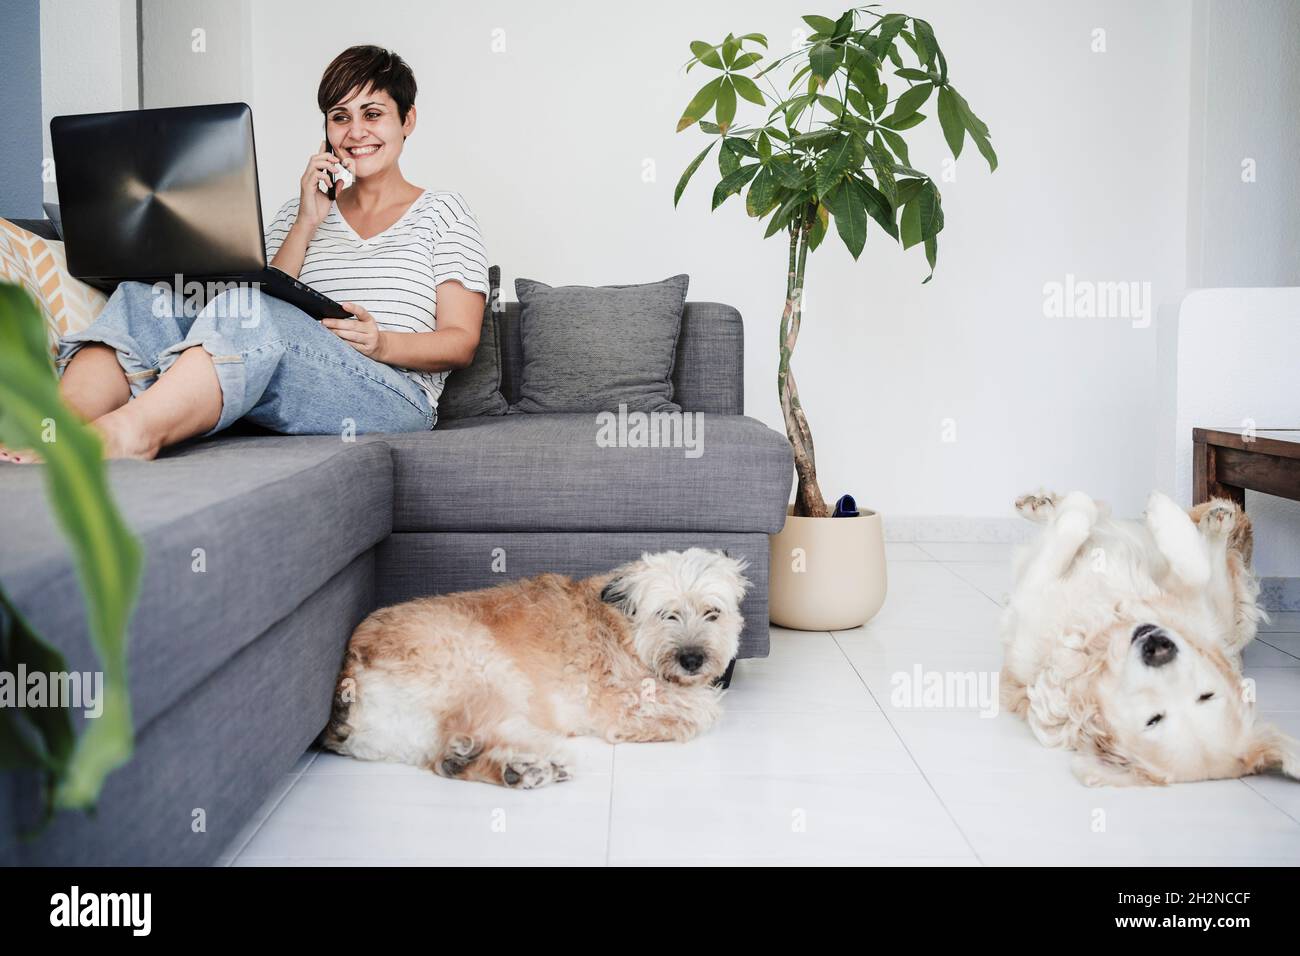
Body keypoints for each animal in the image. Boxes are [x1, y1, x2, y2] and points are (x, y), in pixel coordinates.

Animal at [317, 548, 754, 790]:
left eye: (713, 613)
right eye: (667, 614)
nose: (692, 660)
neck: (626, 628)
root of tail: (349, 675)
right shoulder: (625, 705)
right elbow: (704, 708)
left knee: (446, 759)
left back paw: (514, 769)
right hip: (483, 671)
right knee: (471, 732)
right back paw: (533, 760)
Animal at [998, 489, 1294, 790]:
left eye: (1153, 720)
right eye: (1207, 696)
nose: (1159, 648)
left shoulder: (1031, 603)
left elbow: (1075, 523)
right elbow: (1196, 570)